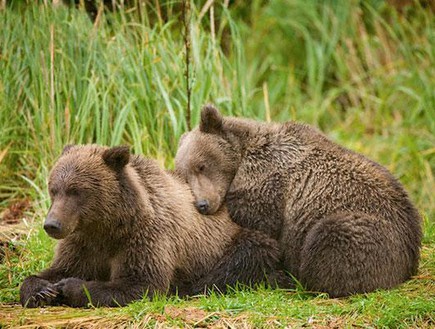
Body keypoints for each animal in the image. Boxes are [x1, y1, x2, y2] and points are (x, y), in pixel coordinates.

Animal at [19, 145, 290, 306]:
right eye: (54, 189)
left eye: (76, 191)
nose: (52, 225)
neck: (108, 226)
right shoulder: (83, 242)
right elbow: (59, 267)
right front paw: (42, 289)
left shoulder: (146, 236)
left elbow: (141, 283)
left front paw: (70, 287)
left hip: (238, 239)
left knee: (244, 257)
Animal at [174, 104, 422, 298]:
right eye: (184, 175)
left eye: (201, 165)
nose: (203, 204)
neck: (243, 160)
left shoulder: (266, 187)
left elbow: (261, 225)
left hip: (369, 231)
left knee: (330, 239)